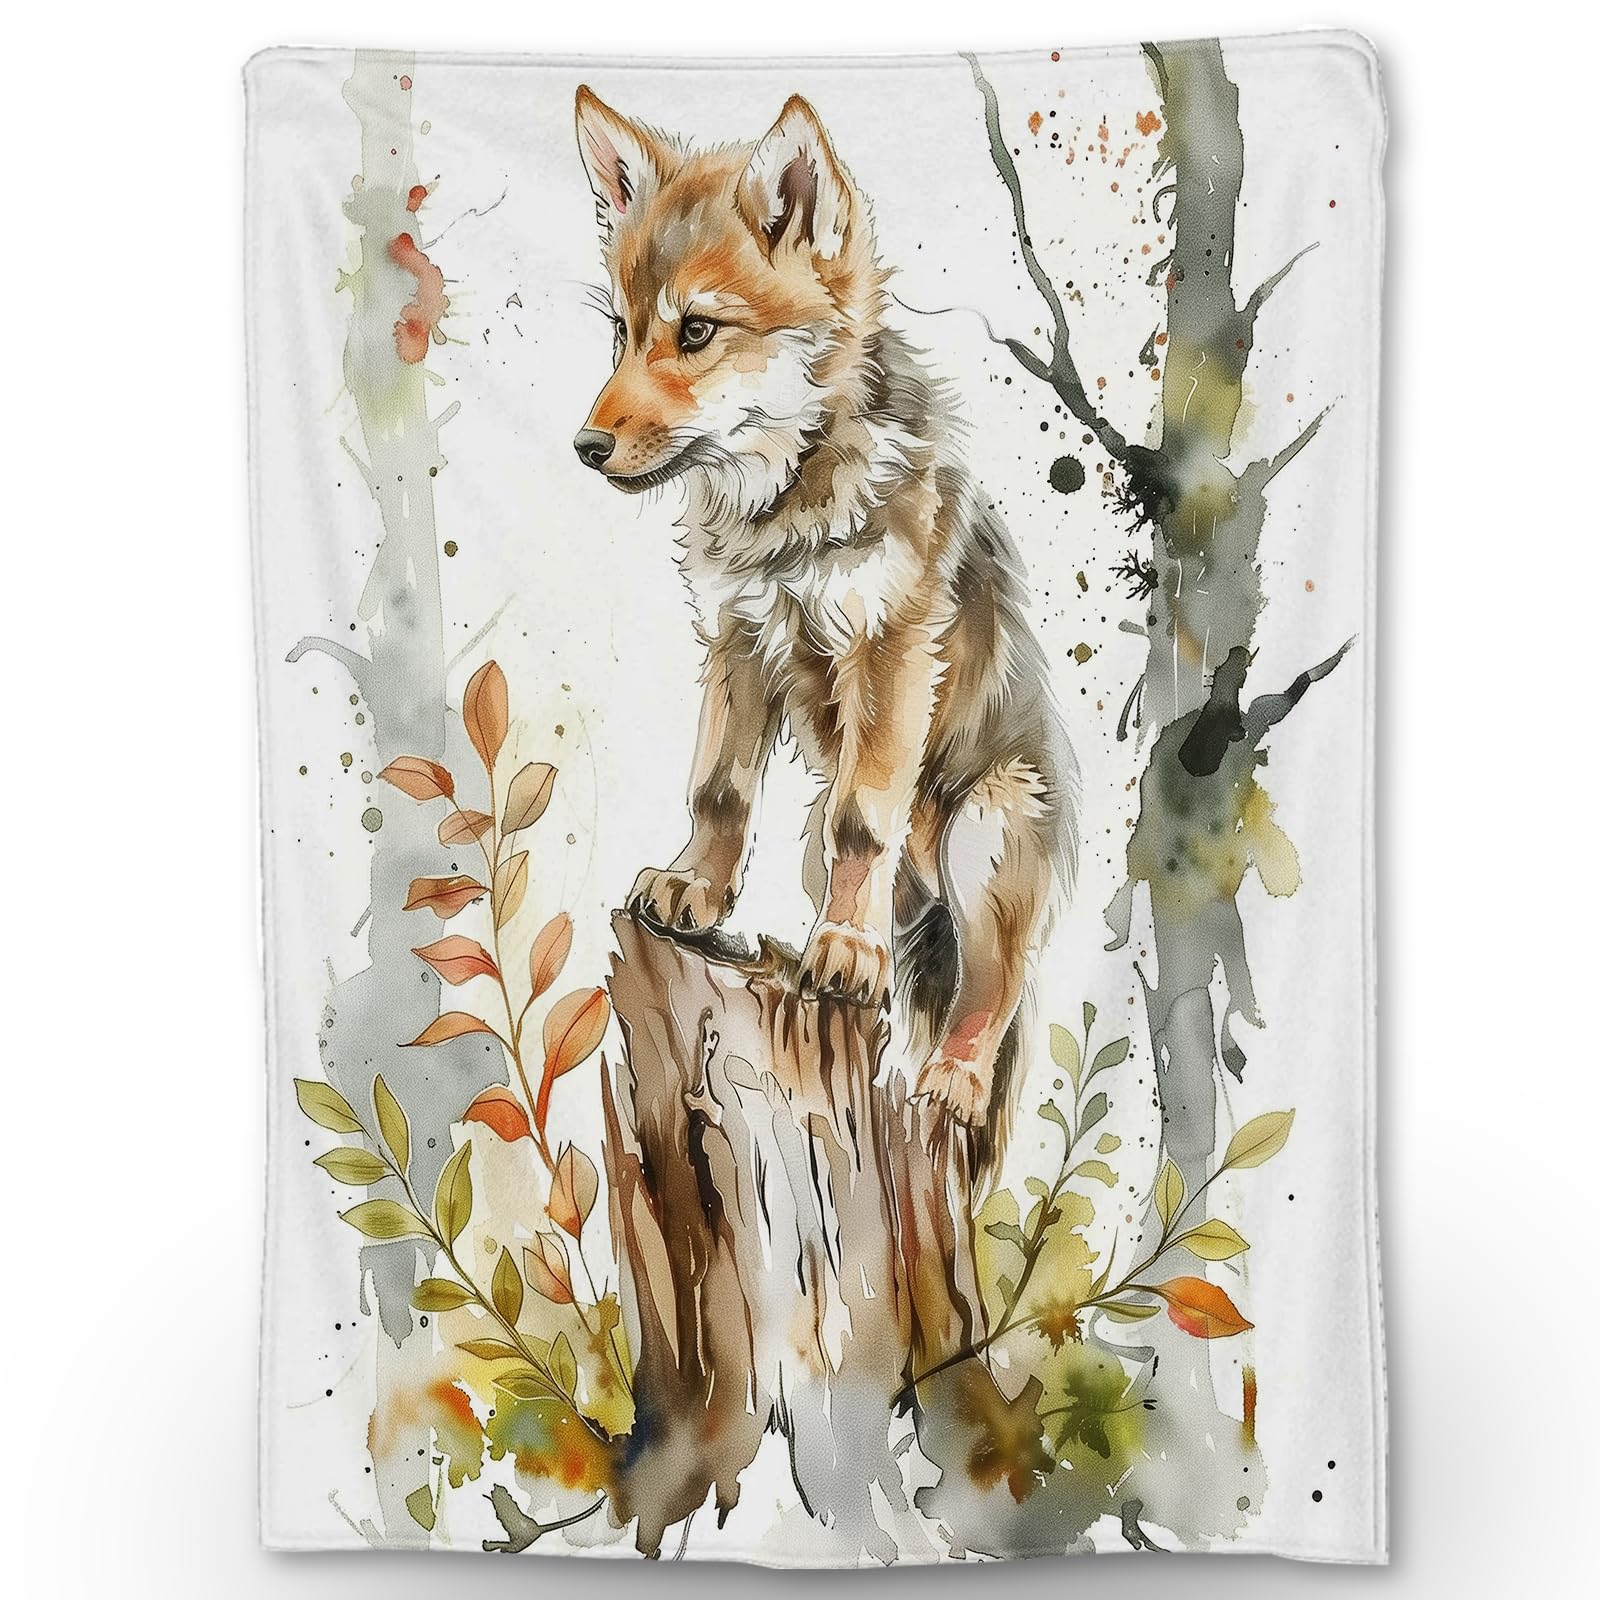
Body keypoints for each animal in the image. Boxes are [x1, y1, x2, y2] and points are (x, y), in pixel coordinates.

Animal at [571, 86, 1079, 1171]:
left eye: (697, 331)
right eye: (624, 333)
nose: (585, 446)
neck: (786, 510)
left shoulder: (888, 649)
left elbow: (863, 818)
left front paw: (843, 951)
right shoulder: (735, 642)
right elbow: (719, 791)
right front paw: (696, 891)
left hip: (985, 831)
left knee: (994, 987)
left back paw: (950, 1077)